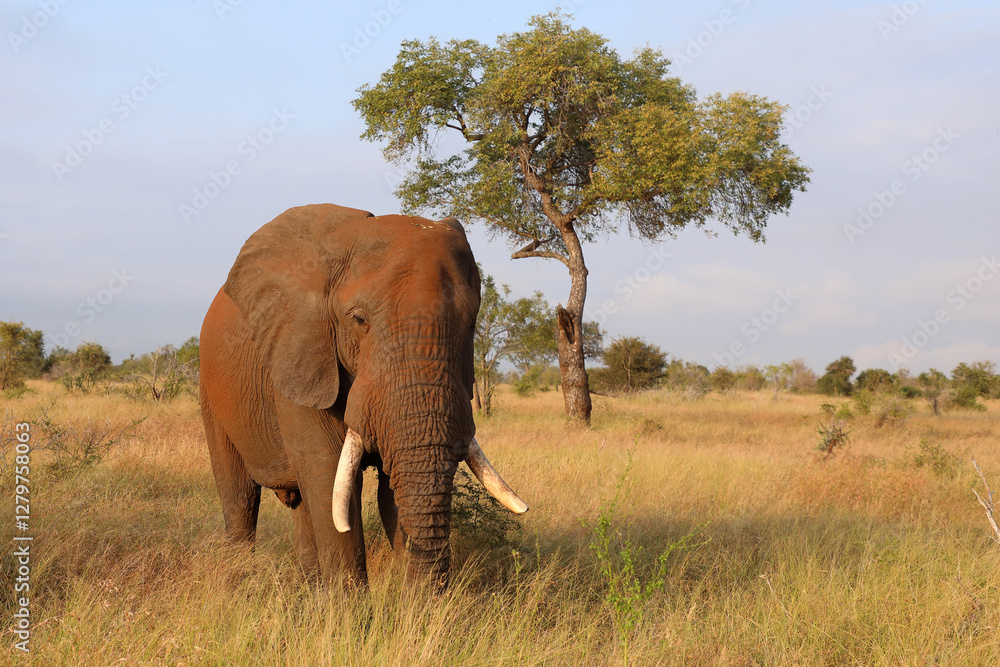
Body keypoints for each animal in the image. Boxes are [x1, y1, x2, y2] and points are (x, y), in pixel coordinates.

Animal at [199, 203, 527, 589]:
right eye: (358, 319)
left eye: (472, 323)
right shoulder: (302, 354)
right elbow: (330, 478)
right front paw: (348, 606)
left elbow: (391, 491)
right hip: (211, 390)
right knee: (240, 498)